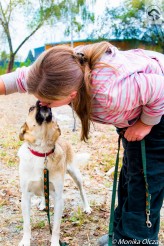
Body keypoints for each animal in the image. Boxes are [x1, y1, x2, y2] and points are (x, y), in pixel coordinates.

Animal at [18, 101, 92, 246]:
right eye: (31, 108)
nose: (41, 102)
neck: (42, 152)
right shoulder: (25, 196)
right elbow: (27, 224)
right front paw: (25, 240)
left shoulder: (58, 198)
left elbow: (56, 227)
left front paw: (55, 242)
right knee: (43, 195)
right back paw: (43, 204)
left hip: (75, 174)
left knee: (82, 190)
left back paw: (86, 207)